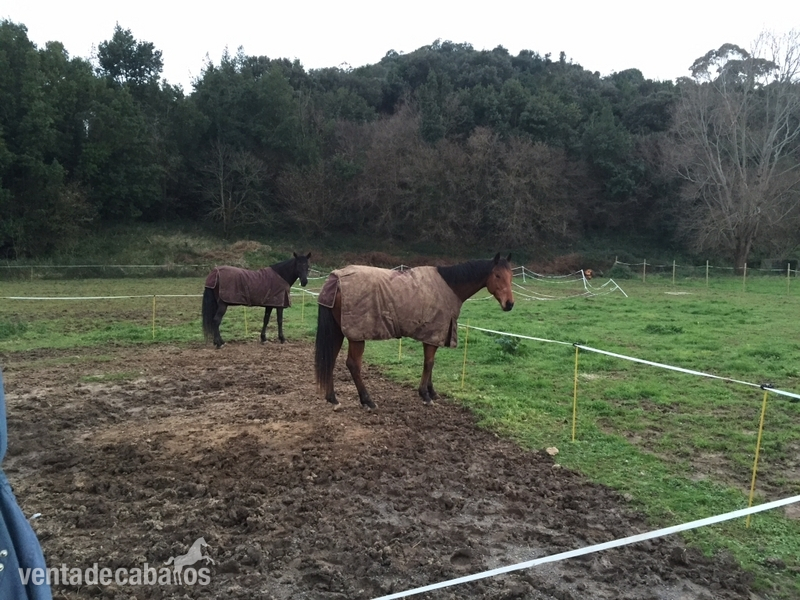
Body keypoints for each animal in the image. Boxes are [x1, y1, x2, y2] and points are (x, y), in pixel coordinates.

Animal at [315, 253, 514, 409]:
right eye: (497, 275)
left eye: (511, 276)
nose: (509, 304)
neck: (449, 287)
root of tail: (335, 278)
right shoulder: (433, 333)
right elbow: (429, 363)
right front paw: (425, 394)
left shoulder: (434, 335)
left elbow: (431, 363)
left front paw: (432, 392)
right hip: (357, 335)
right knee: (353, 365)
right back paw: (367, 400)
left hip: (338, 332)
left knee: (331, 359)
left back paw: (333, 399)